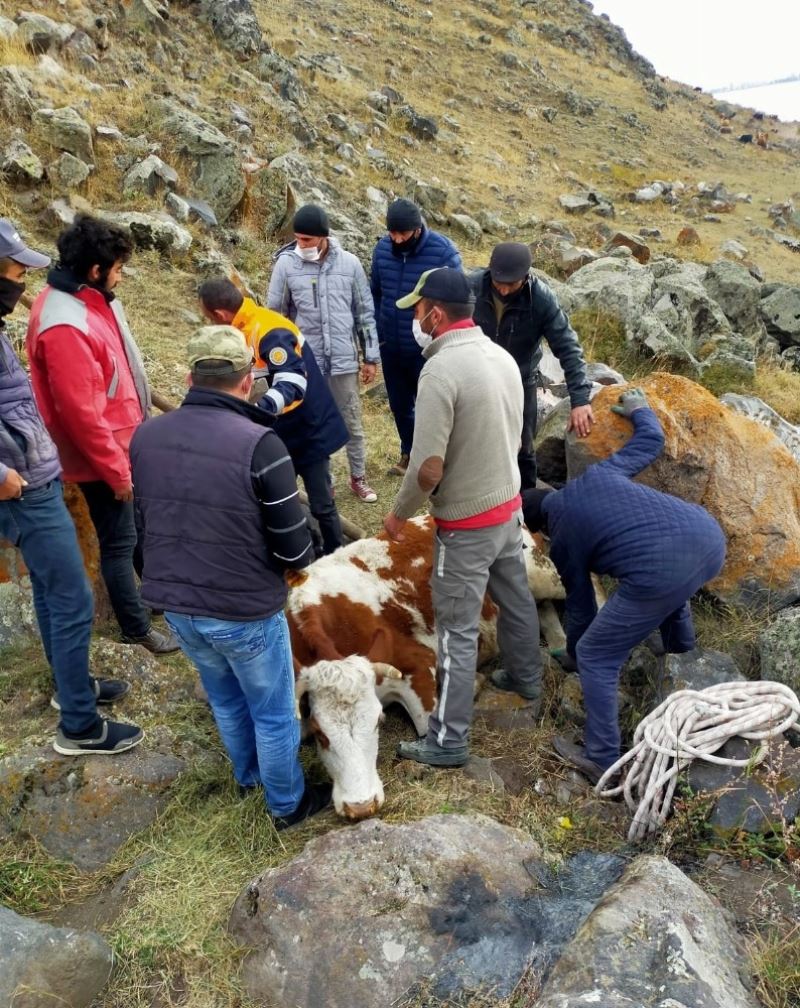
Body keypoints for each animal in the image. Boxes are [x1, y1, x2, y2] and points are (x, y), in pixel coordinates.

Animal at [286, 516, 560, 814]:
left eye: (378, 722)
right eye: (320, 733)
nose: (361, 807)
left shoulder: (418, 662)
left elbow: (426, 727)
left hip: (543, 575)